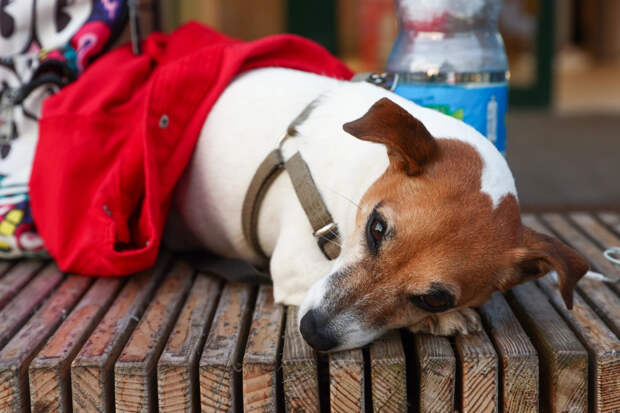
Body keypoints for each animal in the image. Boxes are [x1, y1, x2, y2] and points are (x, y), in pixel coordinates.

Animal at [166, 67, 592, 350]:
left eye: (434, 298)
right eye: (377, 228)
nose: (314, 332)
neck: (363, 170)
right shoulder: (294, 267)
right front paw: (443, 322)